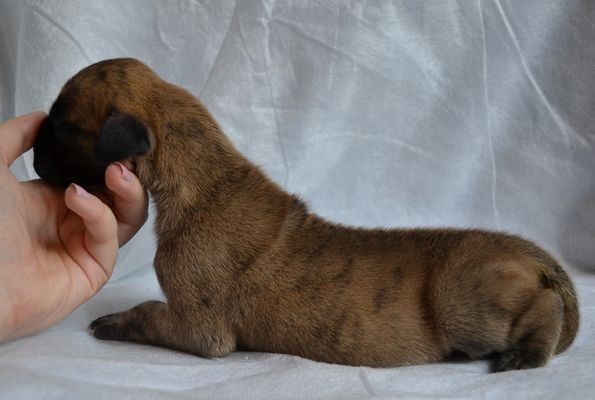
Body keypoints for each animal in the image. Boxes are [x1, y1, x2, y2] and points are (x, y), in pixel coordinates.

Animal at [31, 57, 576, 370]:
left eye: (61, 125)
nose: (32, 157)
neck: (201, 176)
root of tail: (531, 255)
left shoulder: (199, 328)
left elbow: (149, 312)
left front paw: (113, 321)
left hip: (464, 304)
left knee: (541, 309)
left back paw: (522, 355)